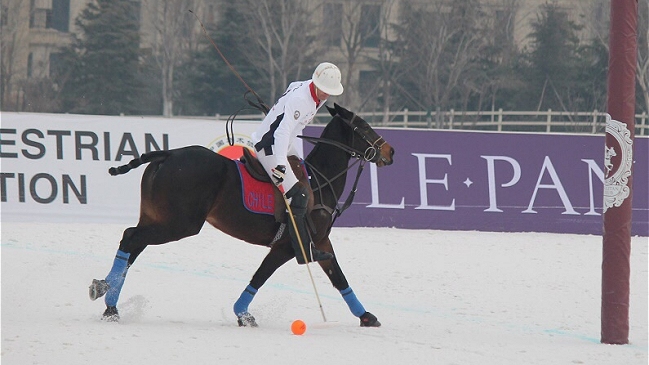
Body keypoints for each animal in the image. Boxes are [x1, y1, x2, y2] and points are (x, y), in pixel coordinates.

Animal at [90, 103, 394, 328]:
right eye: (364, 126)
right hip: (181, 224)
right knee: (131, 237)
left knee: (133, 246)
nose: (390, 151)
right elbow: (261, 276)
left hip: (156, 217)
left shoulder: (320, 242)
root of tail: (167, 154)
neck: (320, 182)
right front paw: (243, 314)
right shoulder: (290, 246)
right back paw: (104, 292)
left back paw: (110, 304)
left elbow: (339, 277)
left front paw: (367, 317)